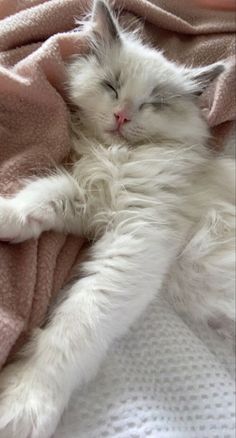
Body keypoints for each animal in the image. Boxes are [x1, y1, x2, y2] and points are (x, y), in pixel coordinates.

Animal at [0, 0, 234, 438]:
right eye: (112, 86)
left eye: (154, 102)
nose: (123, 116)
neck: (120, 156)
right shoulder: (89, 200)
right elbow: (36, 198)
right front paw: (6, 216)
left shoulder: (137, 239)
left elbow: (75, 326)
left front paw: (24, 402)